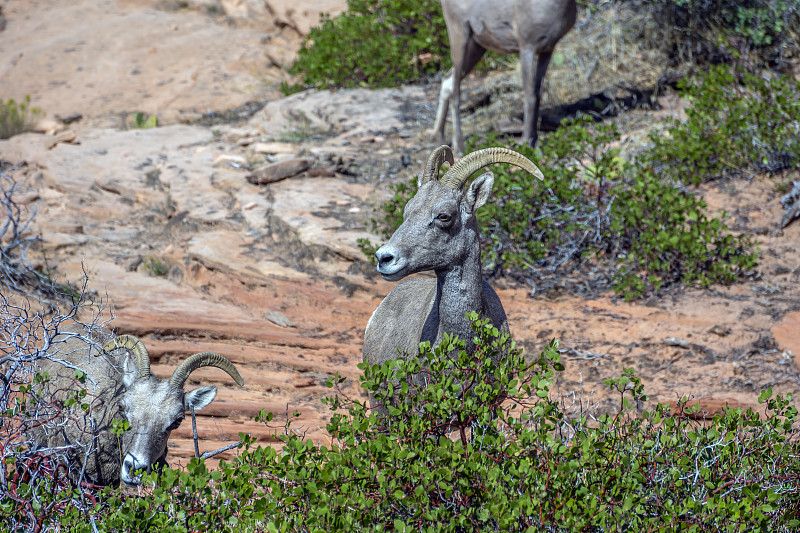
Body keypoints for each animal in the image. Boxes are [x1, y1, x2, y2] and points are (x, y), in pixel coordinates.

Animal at [434, 0, 580, 153]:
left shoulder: (547, 50)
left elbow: (538, 94)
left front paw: (535, 141)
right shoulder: (527, 48)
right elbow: (530, 97)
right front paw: (526, 142)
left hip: (477, 47)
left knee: (447, 82)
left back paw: (440, 139)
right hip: (460, 37)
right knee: (455, 92)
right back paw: (459, 147)